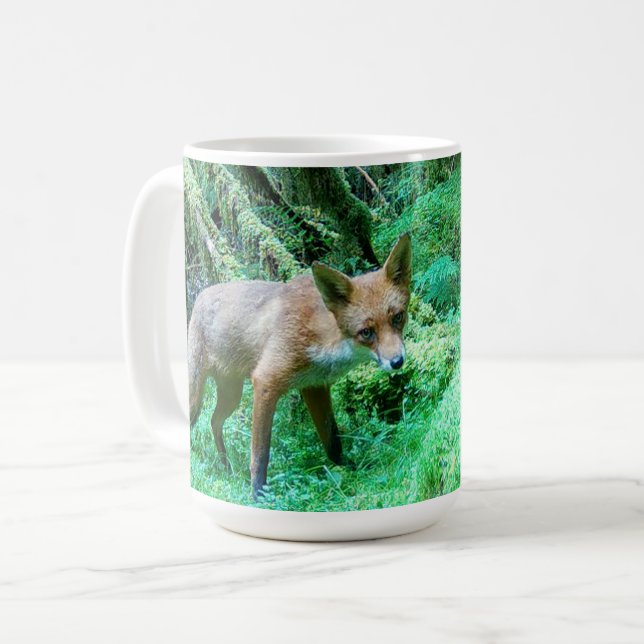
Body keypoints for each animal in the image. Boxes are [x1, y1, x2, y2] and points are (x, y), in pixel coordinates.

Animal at [188, 233, 412, 499]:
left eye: (398, 317)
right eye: (366, 332)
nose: (397, 361)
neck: (319, 334)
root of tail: (202, 293)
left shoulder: (315, 386)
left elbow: (333, 441)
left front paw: (349, 469)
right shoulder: (266, 382)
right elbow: (260, 455)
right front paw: (258, 496)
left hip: (232, 394)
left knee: (214, 421)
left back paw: (226, 466)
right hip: (198, 395)